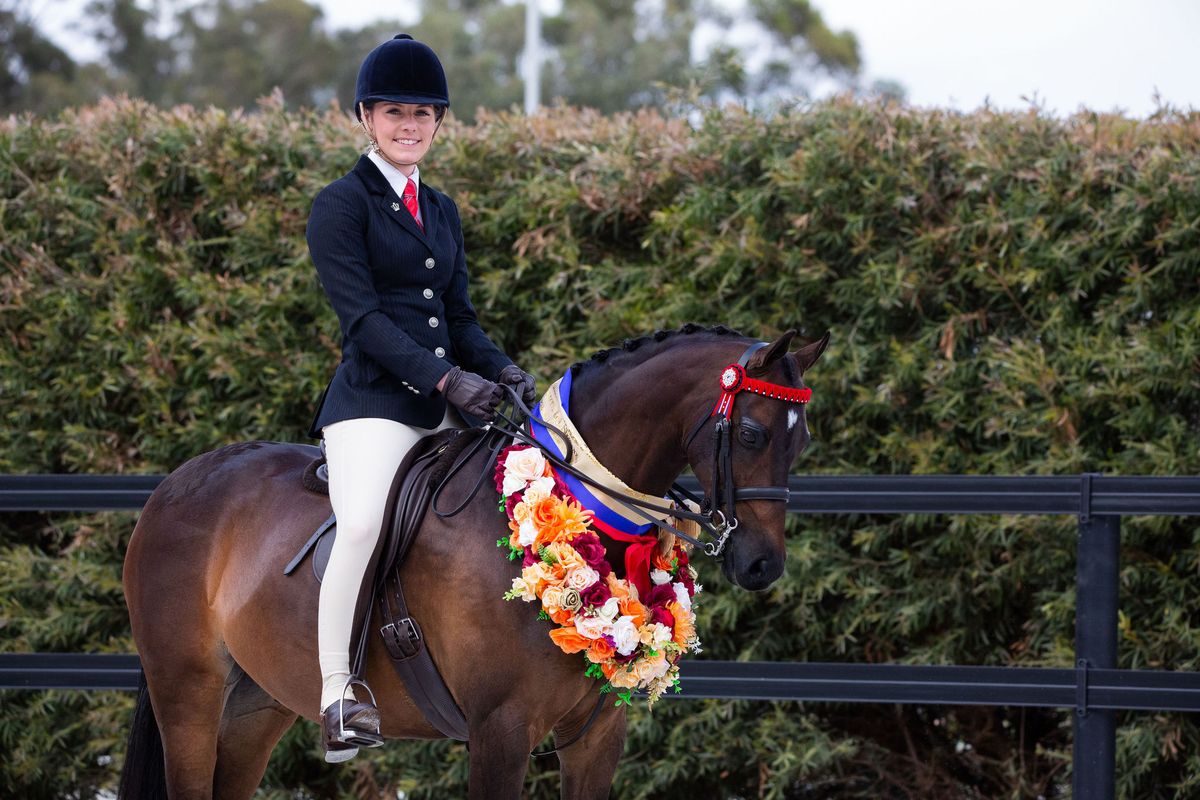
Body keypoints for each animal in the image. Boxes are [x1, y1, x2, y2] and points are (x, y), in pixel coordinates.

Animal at [119, 326, 825, 800]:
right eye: (754, 434)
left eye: (803, 442)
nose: (762, 565)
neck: (575, 497)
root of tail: (178, 482)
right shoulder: (500, 731)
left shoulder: (596, 738)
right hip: (188, 693)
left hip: (254, 707)